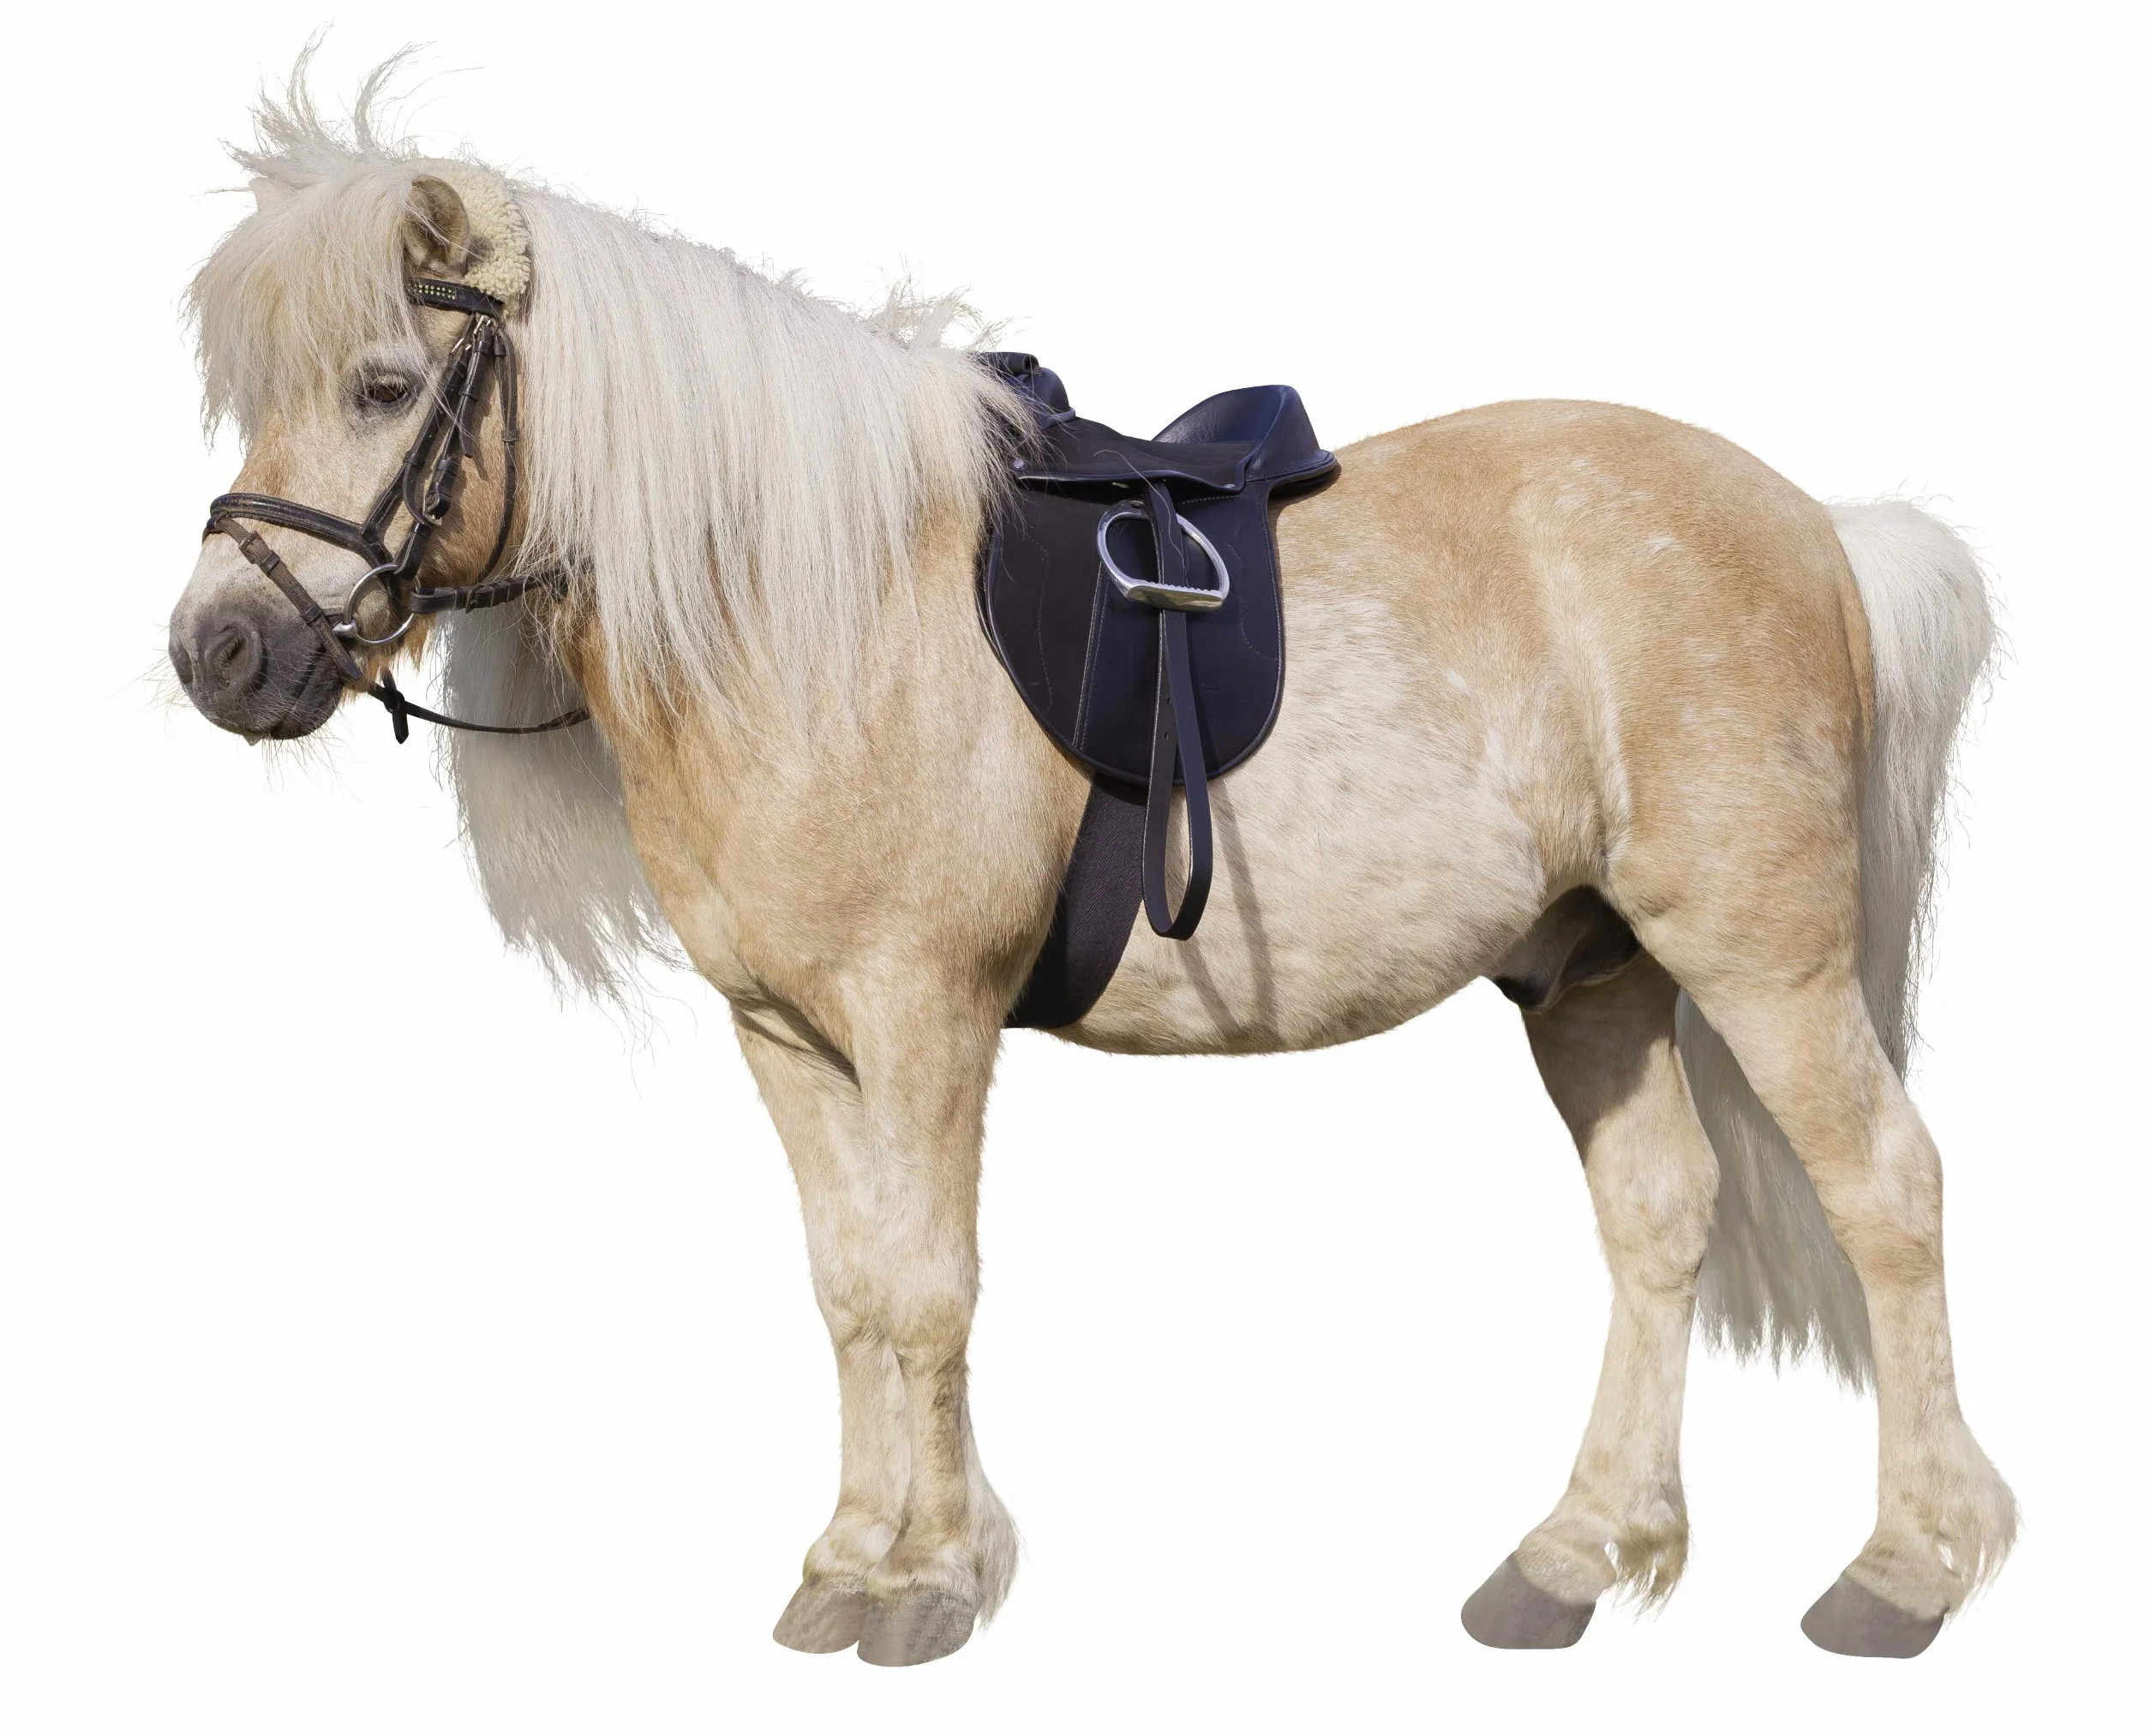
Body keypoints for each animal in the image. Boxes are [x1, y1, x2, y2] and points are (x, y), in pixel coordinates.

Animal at [166, 75, 2015, 1667]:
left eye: (383, 384)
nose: (221, 652)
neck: (810, 604)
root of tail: (1821, 530)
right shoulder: (785, 1034)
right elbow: (847, 1289)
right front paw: (848, 1559)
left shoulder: (923, 1014)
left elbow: (927, 1288)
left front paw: (926, 1583)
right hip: (1592, 968)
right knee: (1656, 1216)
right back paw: (1568, 1558)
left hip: (1758, 954)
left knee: (1887, 1189)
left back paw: (1904, 1570)